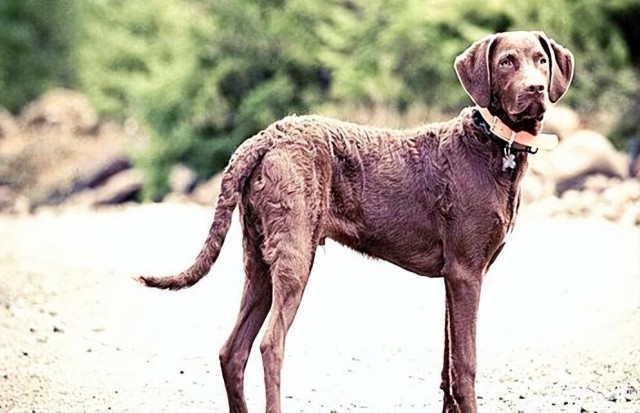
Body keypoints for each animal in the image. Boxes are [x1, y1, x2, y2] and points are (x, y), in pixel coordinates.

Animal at [139, 30, 576, 410]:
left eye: (541, 61)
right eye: (506, 62)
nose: (536, 89)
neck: (494, 143)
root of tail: (265, 137)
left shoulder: (454, 277)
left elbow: (448, 366)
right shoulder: (467, 272)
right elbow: (465, 366)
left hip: (259, 259)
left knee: (232, 351)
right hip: (295, 257)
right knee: (270, 344)